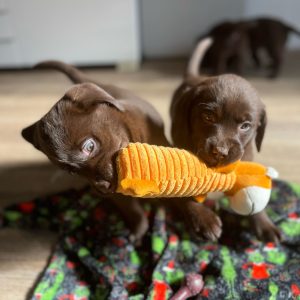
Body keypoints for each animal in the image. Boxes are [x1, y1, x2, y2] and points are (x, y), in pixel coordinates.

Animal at [22, 60, 170, 239]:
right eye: (71, 170)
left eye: (90, 146)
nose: (103, 188)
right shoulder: (118, 195)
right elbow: (131, 209)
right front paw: (138, 230)